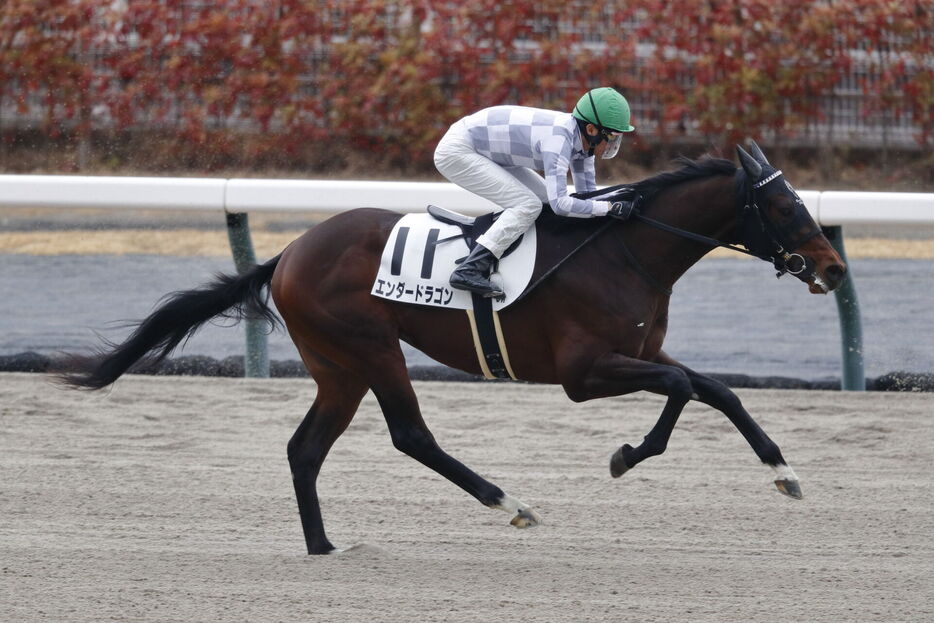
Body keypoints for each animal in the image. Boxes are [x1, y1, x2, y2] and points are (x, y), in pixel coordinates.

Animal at [56, 143, 848, 556]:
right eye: (784, 205)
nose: (835, 268)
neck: (627, 251)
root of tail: (288, 251)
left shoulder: (643, 353)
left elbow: (718, 388)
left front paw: (784, 472)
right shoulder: (583, 373)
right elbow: (685, 391)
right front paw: (626, 455)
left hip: (337, 367)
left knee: (305, 449)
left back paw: (324, 546)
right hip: (372, 347)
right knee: (411, 434)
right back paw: (509, 502)